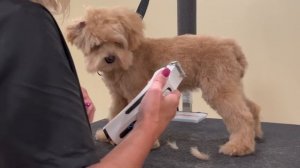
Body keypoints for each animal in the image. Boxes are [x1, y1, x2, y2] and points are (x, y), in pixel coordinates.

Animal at [66, 6, 262, 156]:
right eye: (96, 45)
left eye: (118, 42)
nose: (110, 58)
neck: (130, 56)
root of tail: (231, 45)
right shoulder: (119, 95)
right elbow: (115, 112)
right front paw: (106, 135)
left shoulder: (136, 92)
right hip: (230, 83)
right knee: (251, 107)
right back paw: (255, 134)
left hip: (218, 88)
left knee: (242, 115)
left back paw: (239, 146)